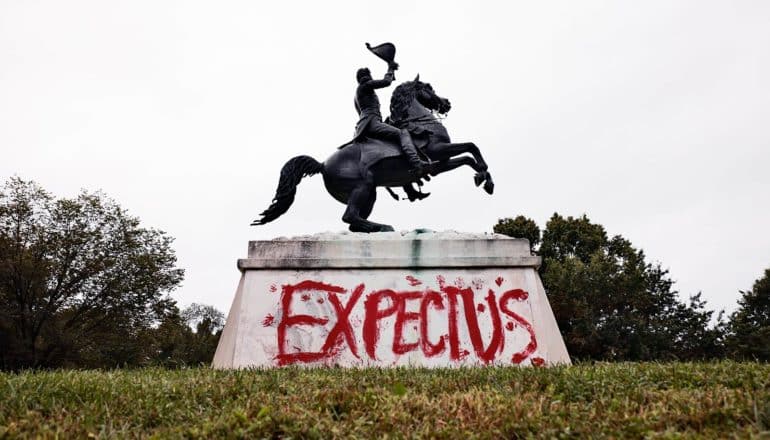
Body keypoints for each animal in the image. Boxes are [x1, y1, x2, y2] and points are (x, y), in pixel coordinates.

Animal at [252, 76, 492, 234]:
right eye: (428, 88)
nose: (446, 103)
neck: (420, 122)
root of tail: (322, 164)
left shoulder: (440, 164)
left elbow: (468, 157)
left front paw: (483, 179)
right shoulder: (437, 152)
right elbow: (472, 147)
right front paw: (485, 177)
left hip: (369, 194)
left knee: (353, 222)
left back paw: (376, 227)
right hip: (363, 186)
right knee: (349, 216)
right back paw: (382, 226)